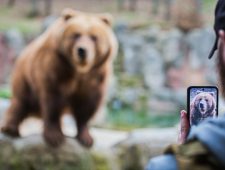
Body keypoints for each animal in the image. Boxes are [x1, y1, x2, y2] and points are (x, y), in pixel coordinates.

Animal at [0, 8, 118, 147]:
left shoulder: (95, 76)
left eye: (94, 37)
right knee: (21, 101)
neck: (79, 70)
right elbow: (53, 101)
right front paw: (55, 136)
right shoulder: (56, 67)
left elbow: (87, 104)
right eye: (76, 34)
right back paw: (10, 129)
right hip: (25, 78)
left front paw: (86, 138)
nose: (82, 50)